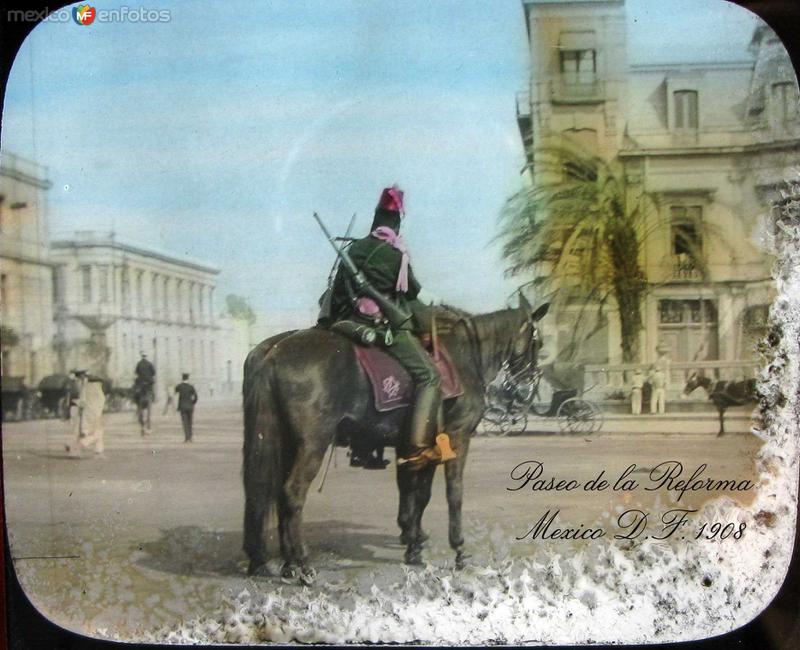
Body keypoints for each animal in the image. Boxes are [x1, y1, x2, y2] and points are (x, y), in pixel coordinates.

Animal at [241, 302, 548, 580]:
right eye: (539, 342)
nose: (528, 383)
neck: (465, 356)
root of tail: (273, 353)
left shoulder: (417, 445)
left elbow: (417, 494)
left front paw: (413, 543)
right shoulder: (457, 437)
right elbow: (453, 494)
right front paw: (458, 549)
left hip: (285, 442)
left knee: (270, 492)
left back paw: (285, 563)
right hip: (312, 444)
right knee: (292, 493)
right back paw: (302, 563)